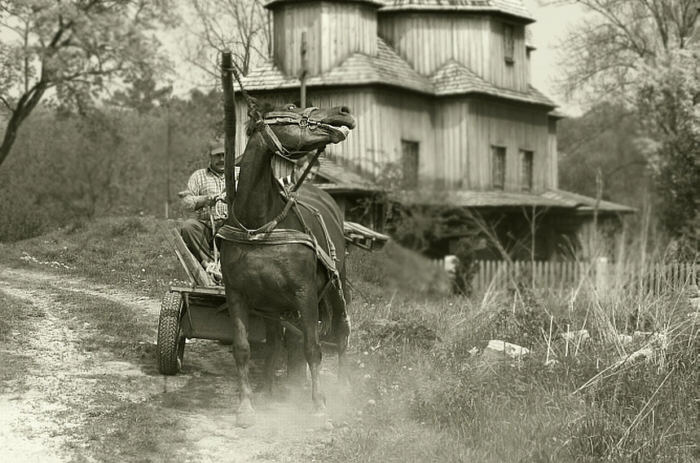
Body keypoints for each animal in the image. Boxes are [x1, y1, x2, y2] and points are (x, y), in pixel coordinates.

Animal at [219, 104, 356, 428]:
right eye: (292, 108)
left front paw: (318, 407)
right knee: (276, 343)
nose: (343, 112)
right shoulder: (238, 295)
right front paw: (247, 407)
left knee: (340, 333)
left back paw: (341, 387)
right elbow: (243, 349)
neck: (258, 225)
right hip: (273, 306)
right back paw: (272, 389)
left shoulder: (304, 293)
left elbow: (312, 348)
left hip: (335, 287)